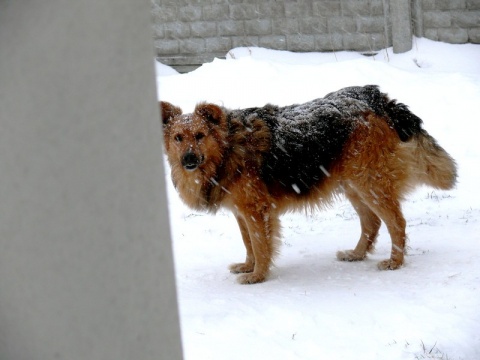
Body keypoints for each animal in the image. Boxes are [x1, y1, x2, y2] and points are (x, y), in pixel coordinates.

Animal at [161, 85, 458, 284]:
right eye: (178, 138)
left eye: (200, 135)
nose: (188, 160)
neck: (227, 148)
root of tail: (375, 97)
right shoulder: (242, 212)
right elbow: (249, 244)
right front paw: (248, 266)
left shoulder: (256, 210)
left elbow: (260, 245)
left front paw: (258, 276)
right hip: (353, 184)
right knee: (372, 223)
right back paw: (357, 254)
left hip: (369, 182)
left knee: (396, 222)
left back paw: (395, 262)